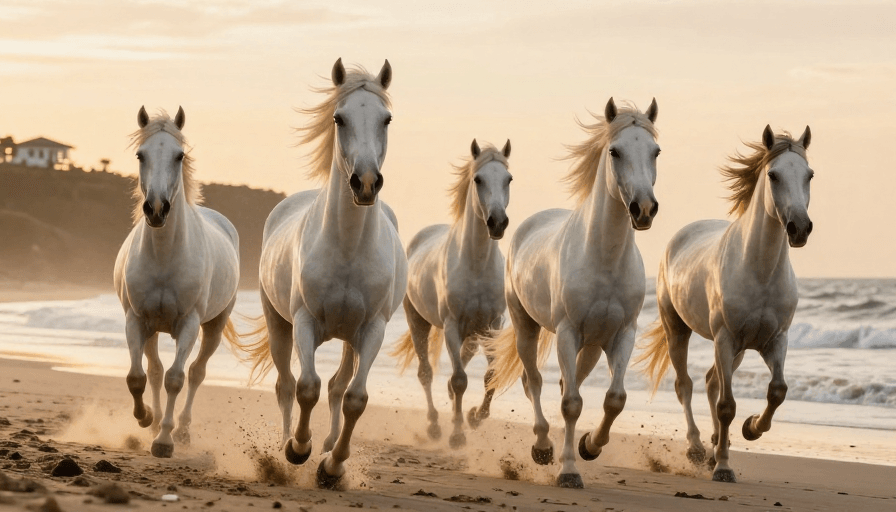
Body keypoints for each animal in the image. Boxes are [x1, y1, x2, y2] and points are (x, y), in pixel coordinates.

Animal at [113, 106, 241, 458]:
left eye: (179, 155)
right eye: (140, 154)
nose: (156, 209)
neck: (164, 256)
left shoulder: (189, 324)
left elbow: (176, 378)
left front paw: (164, 441)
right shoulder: (136, 320)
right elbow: (138, 377)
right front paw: (146, 419)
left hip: (213, 326)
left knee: (196, 373)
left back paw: (181, 431)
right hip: (153, 329)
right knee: (154, 371)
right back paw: (154, 421)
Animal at [233, 58, 407, 489]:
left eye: (386, 118)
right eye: (338, 118)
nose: (365, 183)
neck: (347, 247)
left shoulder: (373, 329)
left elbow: (355, 398)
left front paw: (332, 466)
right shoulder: (304, 322)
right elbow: (306, 387)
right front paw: (298, 449)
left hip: (350, 339)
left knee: (338, 387)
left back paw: (328, 447)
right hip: (278, 323)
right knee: (286, 384)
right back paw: (285, 448)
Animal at [391, 139, 512, 448]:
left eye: (508, 179)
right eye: (478, 179)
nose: (497, 222)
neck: (476, 265)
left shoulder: (493, 326)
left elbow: (490, 375)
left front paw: (475, 418)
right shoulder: (452, 325)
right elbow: (460, 380)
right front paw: (457, 435)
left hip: (474, 332)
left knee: (465, 359)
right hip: (418, 322)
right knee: (426, 373)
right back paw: (434, 426)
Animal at [484, 98, 660, 488]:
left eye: (656, 151)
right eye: (614, 151)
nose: (644, 208)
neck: (604, 259)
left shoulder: (622, 334)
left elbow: (614, 398)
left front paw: (589, 446)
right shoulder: (567, 332)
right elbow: (570, 404)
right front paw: (567, 471)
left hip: (591, 346)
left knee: (570, 382)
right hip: (526, 326)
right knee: (533, 381)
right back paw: (542, 448)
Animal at [637, 125, 813, 483]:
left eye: (809, 175)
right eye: (773, 175)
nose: (800, 228)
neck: (759, 271)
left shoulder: (775, 340)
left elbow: (777, 390)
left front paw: (751, 429)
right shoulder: (725, 338)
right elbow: (726, 405)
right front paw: (723, 467)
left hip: (739, 350)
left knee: (710, 381)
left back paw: (717, 441)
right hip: (679, 330)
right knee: (686, 385)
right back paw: (696, 448)